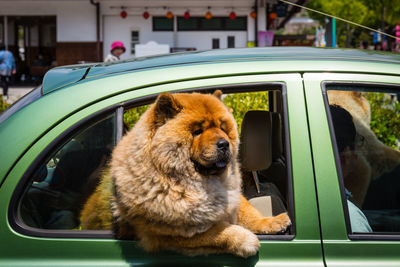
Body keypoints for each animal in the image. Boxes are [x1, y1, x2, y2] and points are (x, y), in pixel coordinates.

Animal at [79, 91, 290, 258]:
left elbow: (250, 214)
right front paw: (245, 239)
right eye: (197, 131)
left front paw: (274, 221)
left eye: (222, 128)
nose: (224, 144)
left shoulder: (232, 198)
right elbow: (217, 232)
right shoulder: (169, 234)